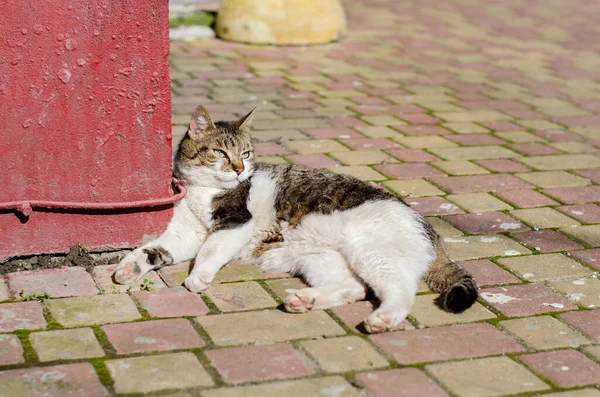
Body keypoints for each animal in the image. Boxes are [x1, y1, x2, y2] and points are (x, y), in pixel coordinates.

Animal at [113, 104, 478, 332]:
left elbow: (211, 250)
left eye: (246, 153)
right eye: (220, 153)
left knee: (401, 291)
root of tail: (428, 228)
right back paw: (305, 300)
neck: (202, 191)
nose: (240, 169)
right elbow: (154, 250)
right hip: (319, 259)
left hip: (372, 253)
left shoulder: (235, 220)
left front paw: (198, 277)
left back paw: (382, 320)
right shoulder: (184, 235)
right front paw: (128, 268)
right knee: (353, 288)